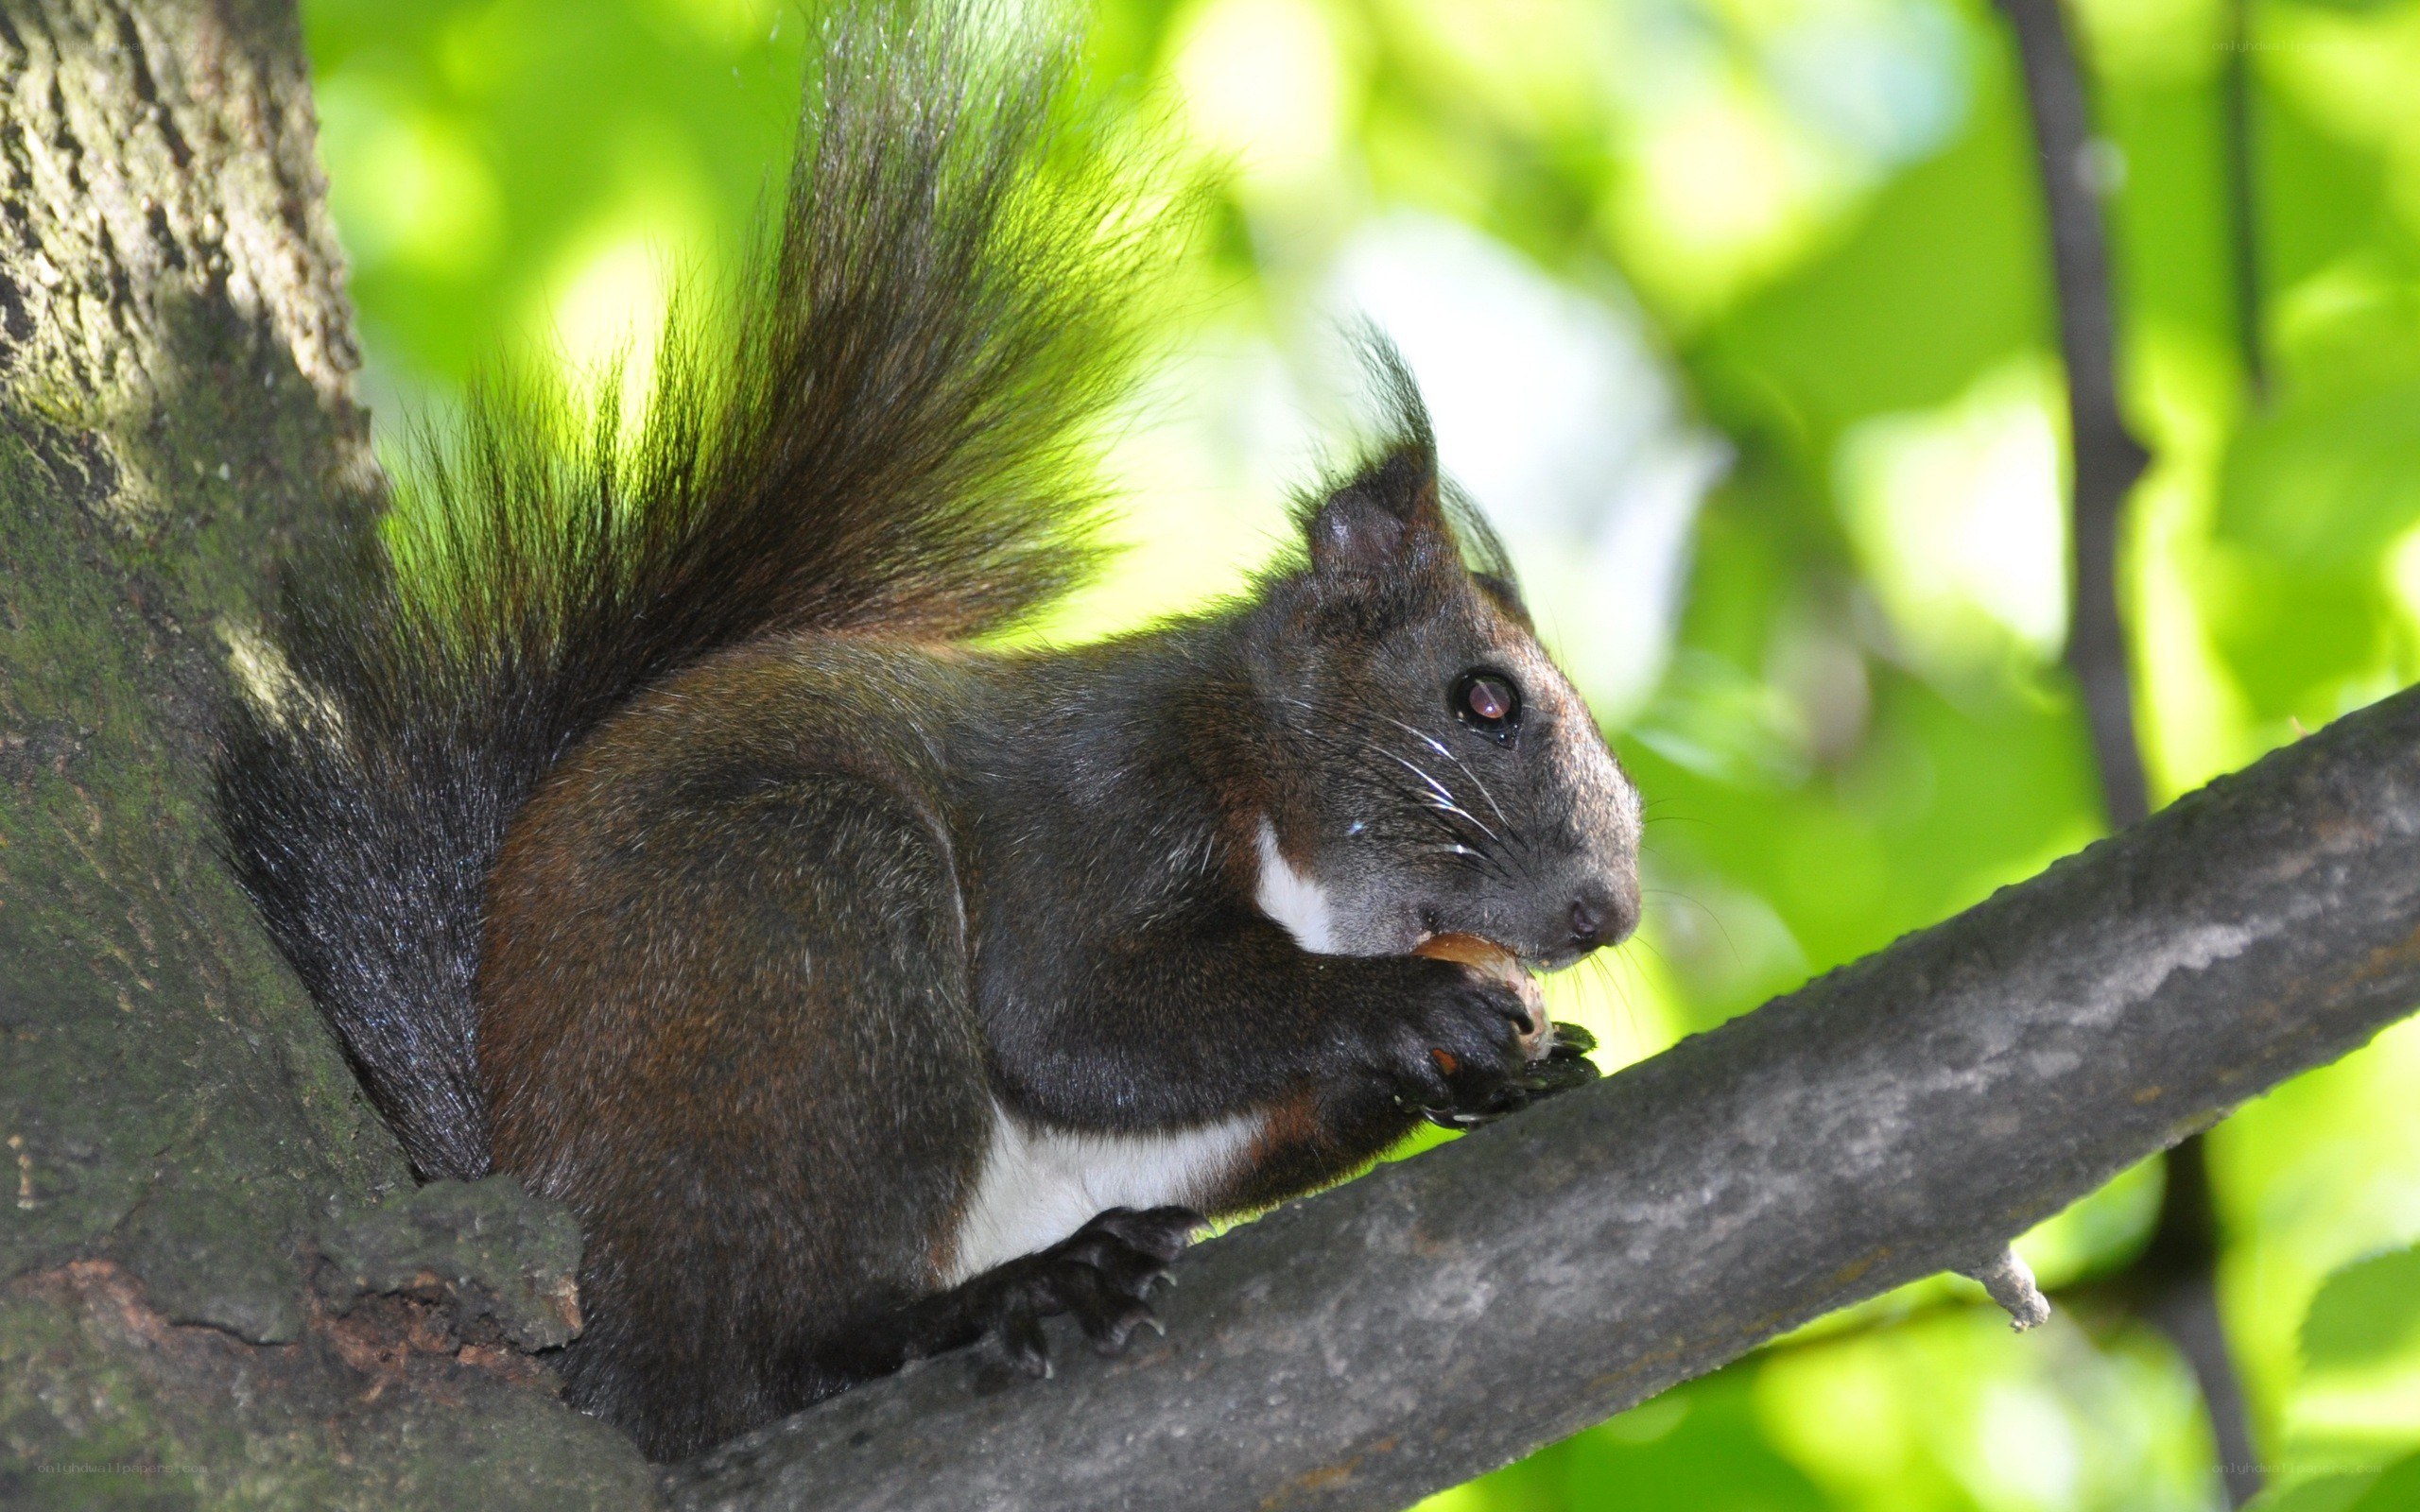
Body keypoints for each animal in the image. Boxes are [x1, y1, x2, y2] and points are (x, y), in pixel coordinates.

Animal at [215, 0, 1642, 1462]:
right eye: (1484, 699)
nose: (1609, 914)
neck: (1286, 823)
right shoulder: (1102, 798)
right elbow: (1070, 1014)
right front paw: (1421, 1004)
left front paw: (1511, 1067)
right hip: (805, 932)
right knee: (757, 1358)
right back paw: (986, 1302)